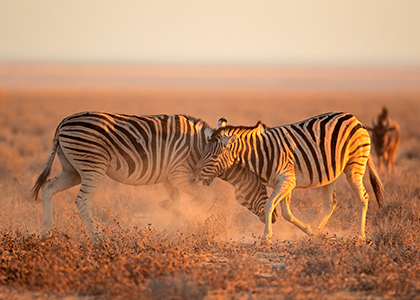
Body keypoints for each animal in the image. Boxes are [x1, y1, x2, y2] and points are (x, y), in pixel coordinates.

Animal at [31, 111, 278, 240]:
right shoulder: (180, 175)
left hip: (72, 170)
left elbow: (179, 200)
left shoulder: (169, 179)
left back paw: (45, 230)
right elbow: (202, 198)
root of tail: (63, 122)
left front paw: (176, 225)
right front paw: (174, 211)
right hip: (92, 166)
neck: (201, 149)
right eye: (262, 186)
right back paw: (98, 237)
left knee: (49, 187)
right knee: (82, 201)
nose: (274, 218)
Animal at [193, 112, 384, 241]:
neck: (261, 153)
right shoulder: (285, 182)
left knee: (363, 197)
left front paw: (266, 237)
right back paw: (317, 232)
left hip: (355, 165)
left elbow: (269, 205)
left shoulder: (287, 180)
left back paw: (360, 236)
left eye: (215, 156)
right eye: (204, 151)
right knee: (330, 203)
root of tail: (353, 118)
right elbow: (286, 213)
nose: (194, 173)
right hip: (331, 173)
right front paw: (309, 230)